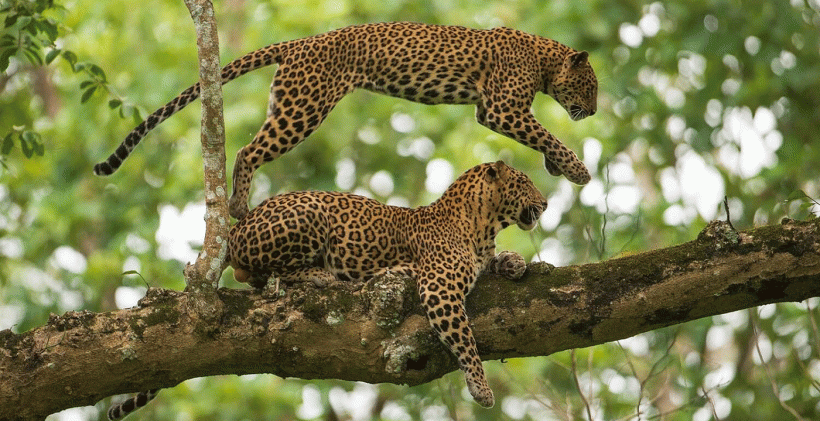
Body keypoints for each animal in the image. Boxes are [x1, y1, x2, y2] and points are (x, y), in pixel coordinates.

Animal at [93, 22, 596, 220]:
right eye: (591, 87)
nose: (592, 111)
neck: (544, 59)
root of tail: (299, 43)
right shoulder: (500, 108)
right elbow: (546, 133)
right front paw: (577, 169)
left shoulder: (498, 111)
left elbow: (541, 137)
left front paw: (558, 167)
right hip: (304, 109)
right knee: (247, 151)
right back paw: (237, 206)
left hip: (287, 103)